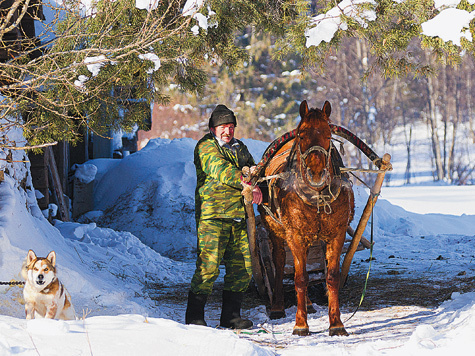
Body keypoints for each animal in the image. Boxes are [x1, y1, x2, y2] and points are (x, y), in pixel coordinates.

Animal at [256, 101, 354, 336]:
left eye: (328, 134)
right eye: (301, 135)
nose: (316, 173)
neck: (317, 196)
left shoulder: (336, 234)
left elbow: (331, 277)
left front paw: (336, 323)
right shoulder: (296, 236)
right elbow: (299, 278)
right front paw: (301, 324)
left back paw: (309, 304)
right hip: (276, 232)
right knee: (280, 262)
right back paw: (278, 306)